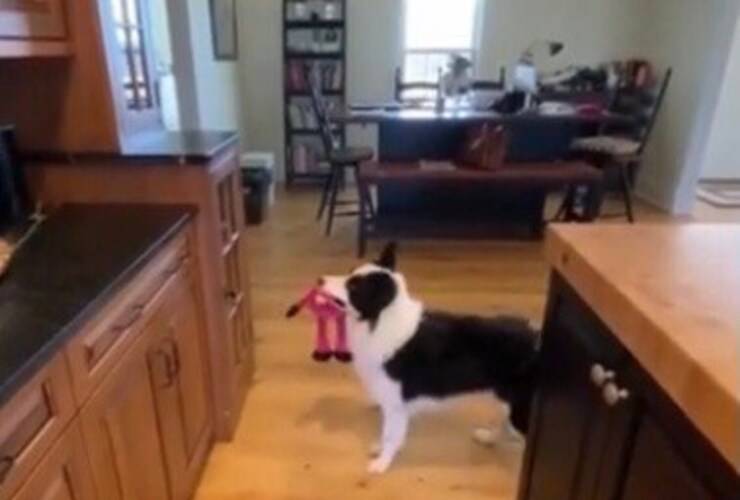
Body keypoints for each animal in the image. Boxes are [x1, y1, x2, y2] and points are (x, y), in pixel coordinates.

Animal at [320, 243, 540, 473]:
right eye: (350, 273)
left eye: (353, 287)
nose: (319, 280)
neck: (380, 320)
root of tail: (538, 337)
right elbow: (390, 434)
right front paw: (381, 450)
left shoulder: (395, 404)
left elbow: (390, 436)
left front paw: (382, 463)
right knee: (505, 424)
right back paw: (488, 438)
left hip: (521, 408)